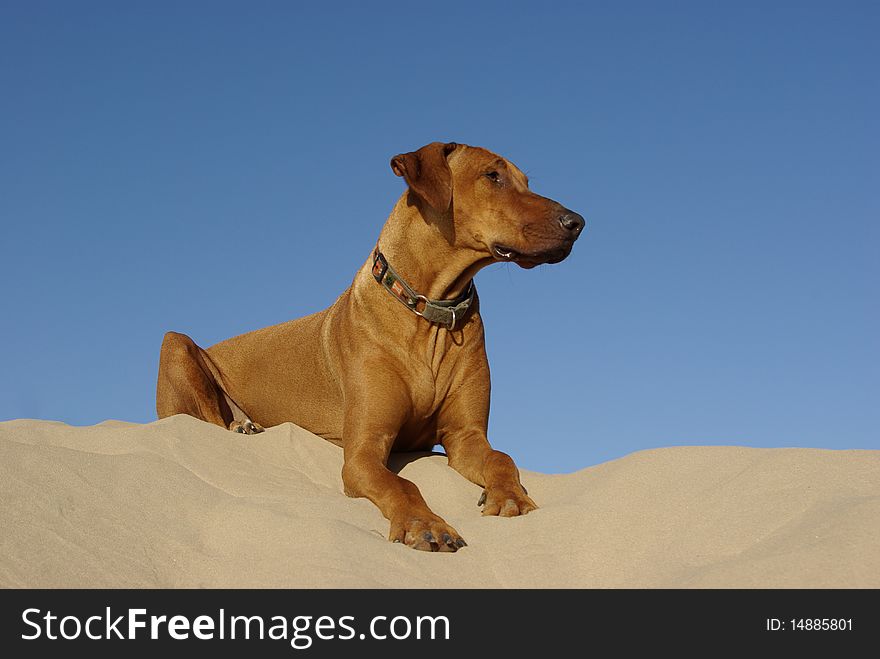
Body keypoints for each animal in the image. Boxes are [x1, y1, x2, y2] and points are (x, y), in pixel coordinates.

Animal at [158, 143, 584, 552]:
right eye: (492, 176)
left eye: (525, 181)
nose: (577, 222)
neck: (427, 312)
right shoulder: (362, 452)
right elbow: (403, 485)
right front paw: (425, 524)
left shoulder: (465, 437)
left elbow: (501, 457)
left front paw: (511, 496)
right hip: (175, 343)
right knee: (205, 420)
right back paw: (241, 426)